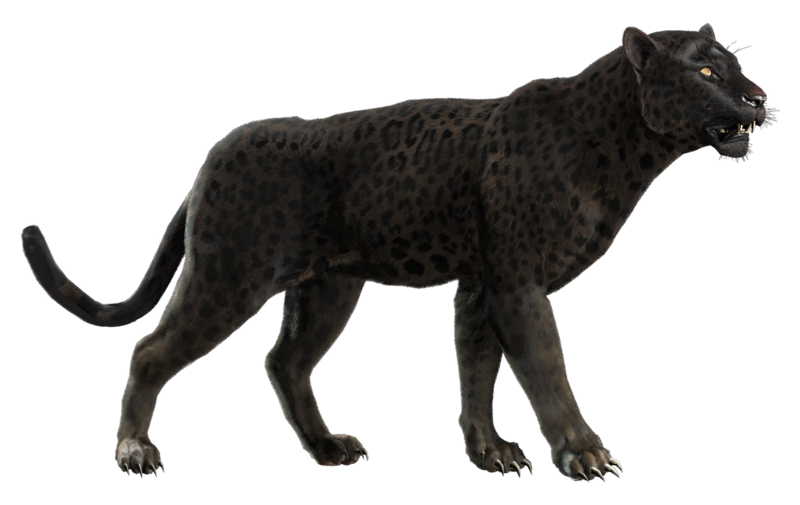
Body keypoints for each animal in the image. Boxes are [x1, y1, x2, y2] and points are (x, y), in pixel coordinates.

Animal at [20, 23, 774, 483]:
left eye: (737, 64)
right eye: (706, 71)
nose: (763, 99)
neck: (622, 147)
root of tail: (214, 156)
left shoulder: (481, 286)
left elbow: (477, 371)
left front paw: (489, 452)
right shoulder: (517, 283)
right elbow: (544, 370)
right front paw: (584, 454)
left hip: (328, 289)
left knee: (283, 360)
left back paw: (328, 448)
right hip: (228, 275)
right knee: (152, 349)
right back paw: (134, 450)